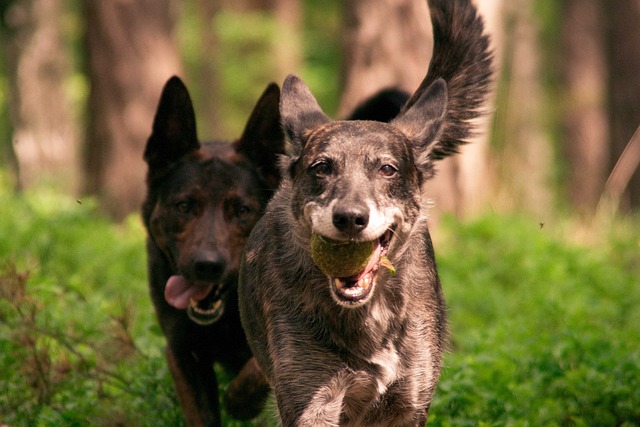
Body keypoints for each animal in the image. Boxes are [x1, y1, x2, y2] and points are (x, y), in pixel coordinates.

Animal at [238, 0, 492, 427]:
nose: (350, 218)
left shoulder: (408, 403)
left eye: (387, 169)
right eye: (322, 167)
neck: (367, 316)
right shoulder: (312, 401)